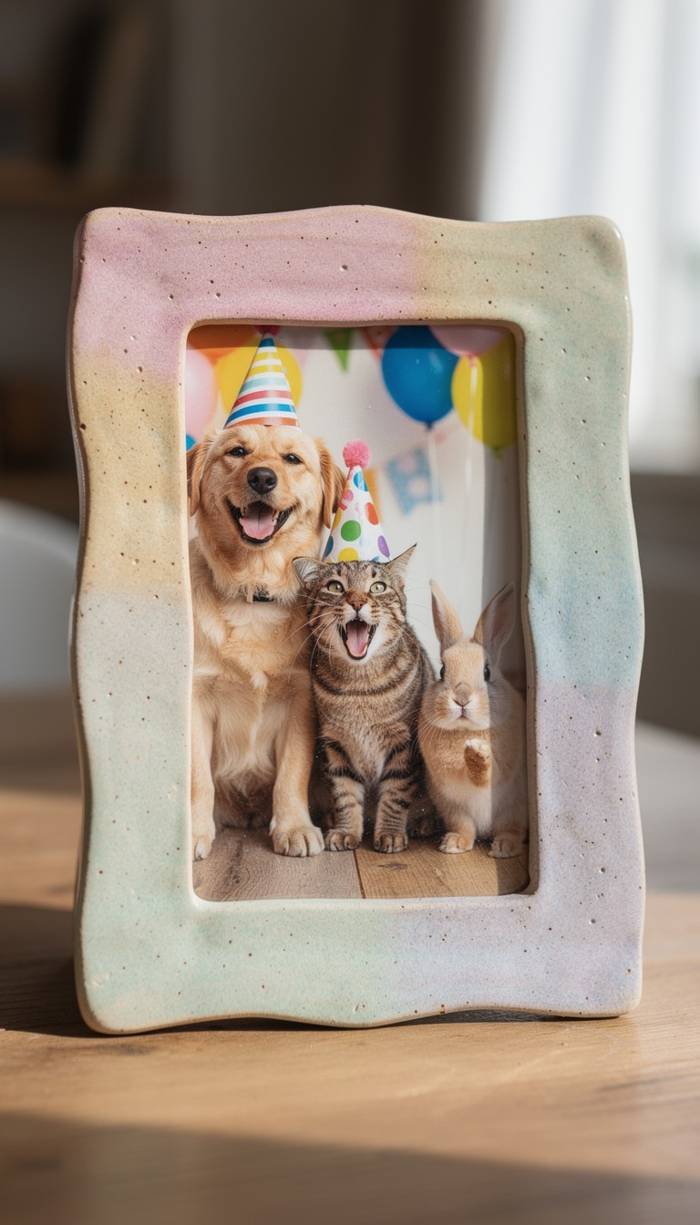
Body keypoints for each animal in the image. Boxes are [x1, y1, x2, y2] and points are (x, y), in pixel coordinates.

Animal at [187, 423, 344, 859]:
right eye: (238, 452)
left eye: (292, 459)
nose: (261, 478)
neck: (254, 591)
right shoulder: (196, 698)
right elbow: (198, 779)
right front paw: (194, 834)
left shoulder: (300, 699)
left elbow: (292, 773)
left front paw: (294, 828)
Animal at [294, 548, 434, 853]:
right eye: (335, 587)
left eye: (378, 587)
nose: (357, 602)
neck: (360, 688)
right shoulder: (336, 745)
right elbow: (345, 793)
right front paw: (347, 830)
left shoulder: (404, 745)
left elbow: (396, 794)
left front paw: (391, 832)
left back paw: (423, 823)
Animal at [418, 580, 528, 858]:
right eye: (442, 670)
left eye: (487, 672)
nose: (461, 699)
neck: (464, 731)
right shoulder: (451, 798)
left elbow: (486, 775)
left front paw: (476, 754)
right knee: (467, 829)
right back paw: (456, 843)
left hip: (514, 809)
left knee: (512, 830)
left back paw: (505, 847)